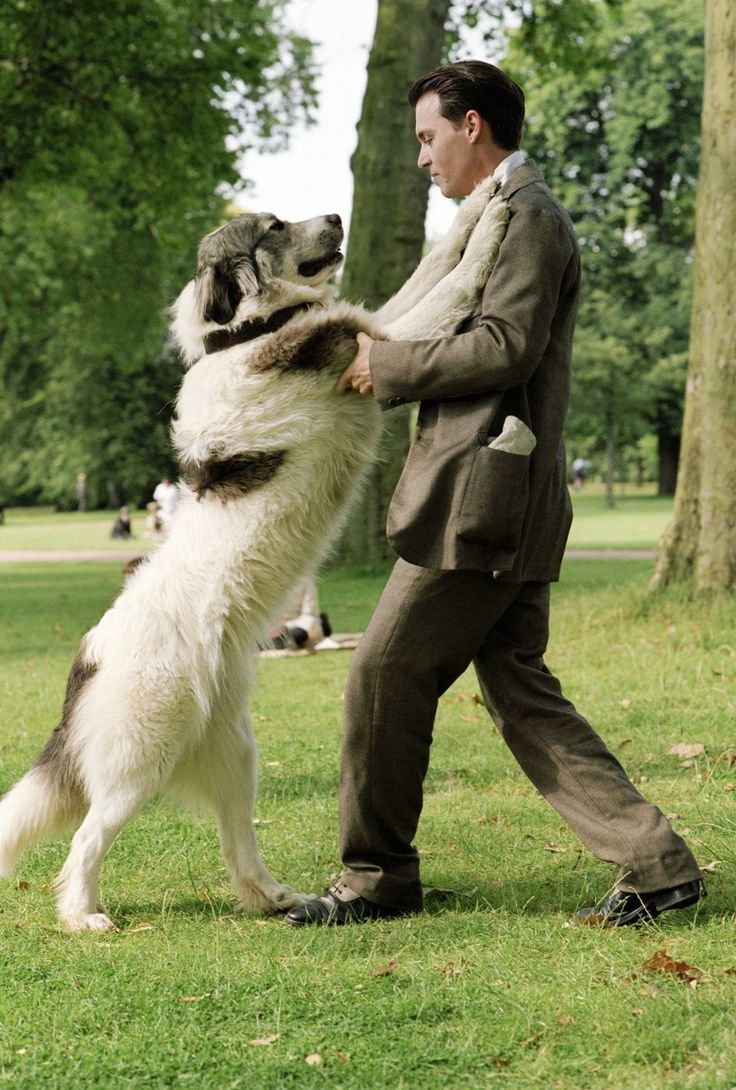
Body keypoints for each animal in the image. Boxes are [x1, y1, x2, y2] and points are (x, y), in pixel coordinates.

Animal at [0, 185, 510, 928]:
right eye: (273, 227)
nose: (336, 214)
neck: (244, 330)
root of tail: (86, 659)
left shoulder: (369, 330)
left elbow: (430, 266)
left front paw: (476, 208)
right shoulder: (375, 347)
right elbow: (451, 285)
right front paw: (493, 227)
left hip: (235, 753)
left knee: (236, 844)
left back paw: (276, 899)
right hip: (142, 756)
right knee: (86, 839)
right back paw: (85, 915)